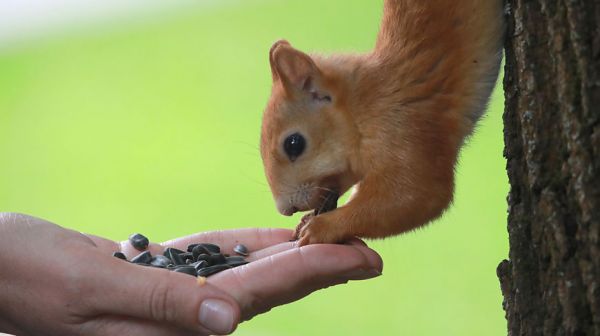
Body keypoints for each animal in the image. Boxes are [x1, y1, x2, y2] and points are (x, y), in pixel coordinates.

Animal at [262, 1, 506, 245]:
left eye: (294, 144)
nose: (285, 209)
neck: (363, 108)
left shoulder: (403, 128)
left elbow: (417, 195)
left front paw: (320, 227)